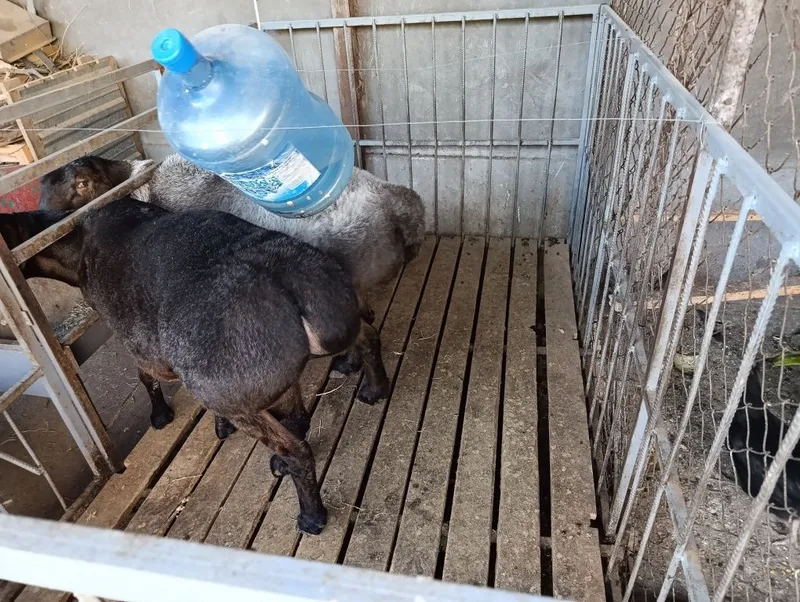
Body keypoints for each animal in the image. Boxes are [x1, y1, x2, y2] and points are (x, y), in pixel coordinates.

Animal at [1, 196, 391, 535]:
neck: (77, 242)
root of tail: (288, 277)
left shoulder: (148, 351)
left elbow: (145, 377)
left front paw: (160, 416)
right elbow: (295, 411)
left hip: (231, 396)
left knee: (296, 450)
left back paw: (311, 515)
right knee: (365, 340)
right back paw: (373, 388)